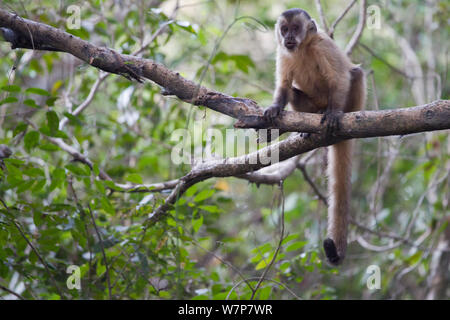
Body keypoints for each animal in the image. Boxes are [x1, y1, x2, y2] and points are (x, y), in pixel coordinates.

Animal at [266, 9, 368, 264]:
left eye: (295, 28)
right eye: (284, 29)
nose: (288, 37)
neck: (303, 48)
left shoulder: (323, 45)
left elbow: (339, 79)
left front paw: (334, 114)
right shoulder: (282, 52)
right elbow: (284, 86)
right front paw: (274, 108)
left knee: (356, 74)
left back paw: (338, 114)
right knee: (294, 92)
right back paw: (309, 125)